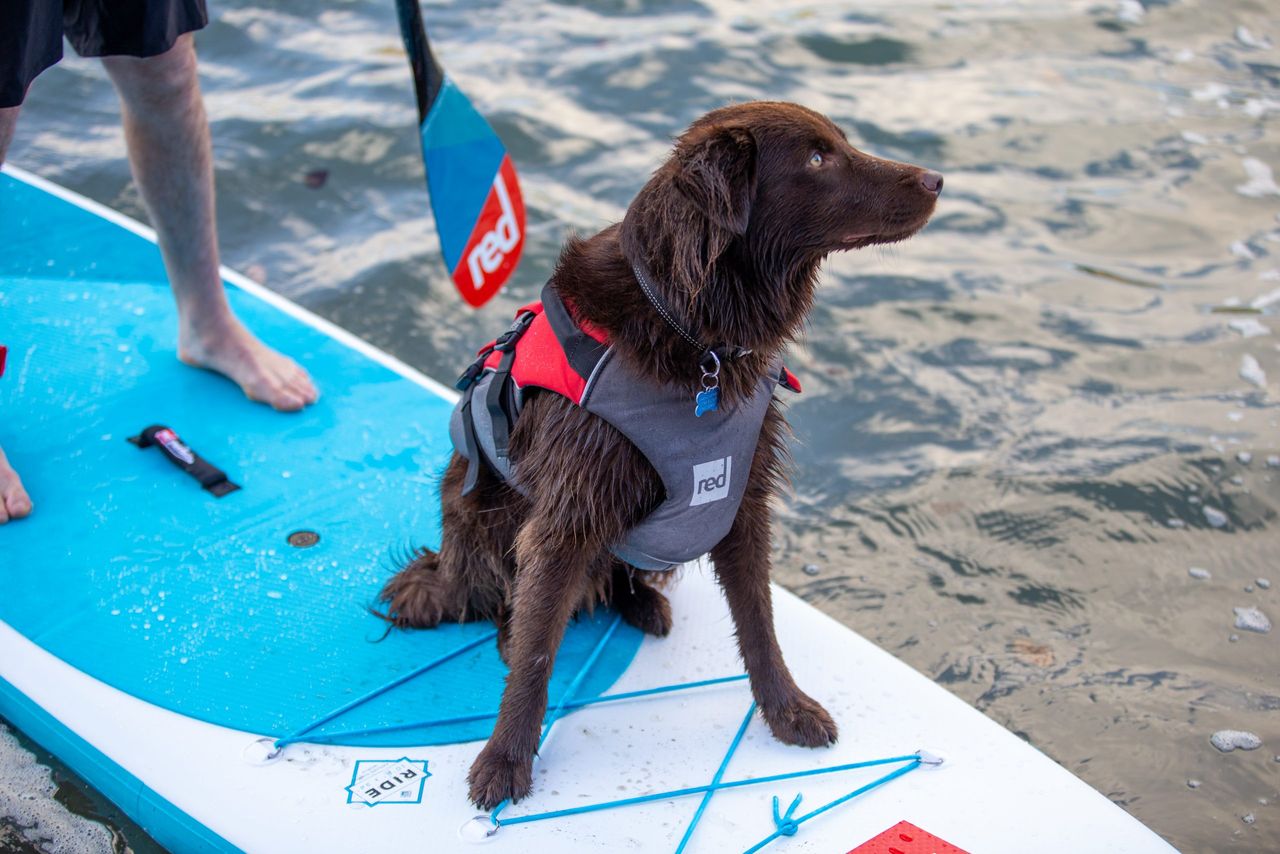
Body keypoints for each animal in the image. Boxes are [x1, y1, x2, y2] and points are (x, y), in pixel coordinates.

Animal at [378, 100, 942, 809]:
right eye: (817, 158)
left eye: (838, 143)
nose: (936, 179)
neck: (696, 333)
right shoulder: (568, 513)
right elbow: (537, 651)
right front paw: (505, 760)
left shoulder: (740, 500)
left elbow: (760, 625)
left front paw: (786, 712)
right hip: (477, 508)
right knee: (506, 599)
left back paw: (642, 603)